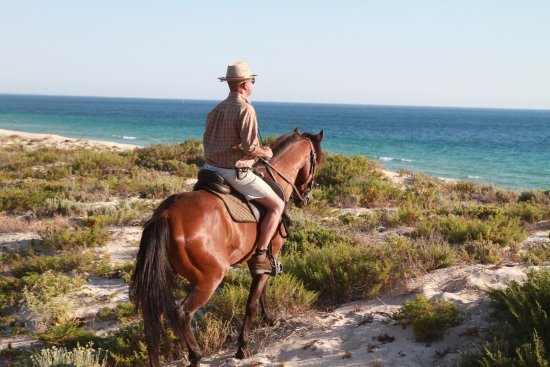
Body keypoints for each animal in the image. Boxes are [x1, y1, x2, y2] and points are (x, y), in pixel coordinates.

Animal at [129, 129, 324, 366]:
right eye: (317, 161)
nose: (306, 198)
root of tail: (165, 214)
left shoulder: (258, 260)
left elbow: (261, 292)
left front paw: (269, 319)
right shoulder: (270, 253)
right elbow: (252, 301)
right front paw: (242, 347)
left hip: (162, 276)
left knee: (153, 322)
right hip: (210, 278)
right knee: (182, 314)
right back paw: (197, 355)